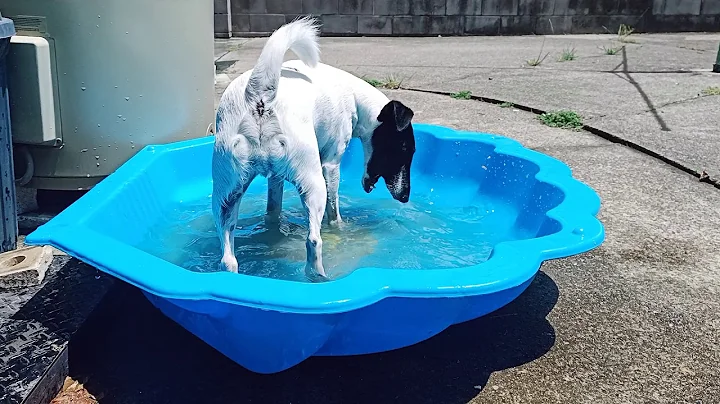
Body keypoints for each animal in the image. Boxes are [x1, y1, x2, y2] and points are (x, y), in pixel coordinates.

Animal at [212, 17, 416, 280]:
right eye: (404, 149)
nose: (405, 197)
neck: (355, 99)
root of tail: (260, 95)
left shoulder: (275, 178)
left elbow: (273, 209)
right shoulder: (331, 164)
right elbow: (334, 212)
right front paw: (340, 228)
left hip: (226, 194)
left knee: (227, 258)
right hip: (312, 183)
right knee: (313, 240)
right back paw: (318, 276)